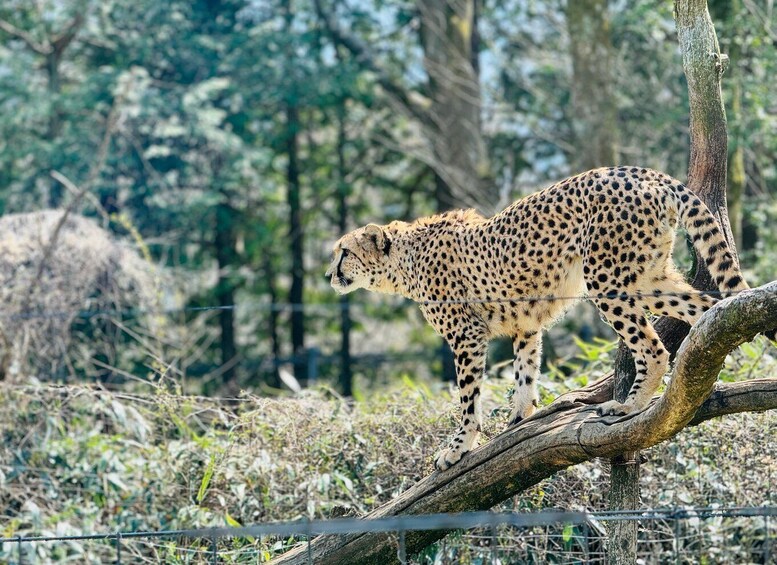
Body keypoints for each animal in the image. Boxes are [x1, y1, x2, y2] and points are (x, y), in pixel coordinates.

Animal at [326, 166, 775, 471]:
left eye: (344, 252)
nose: (329, 275)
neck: (403, 262)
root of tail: (642, 171)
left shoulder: (467, 336)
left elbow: (468, 398)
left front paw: (458, 447)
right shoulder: (525, 324)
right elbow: (525, 372)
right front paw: (519, 419)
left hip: (608, 279)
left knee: (652, 345)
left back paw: (628, 406)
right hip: (649, 277)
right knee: (708, 310)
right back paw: (703, 380)